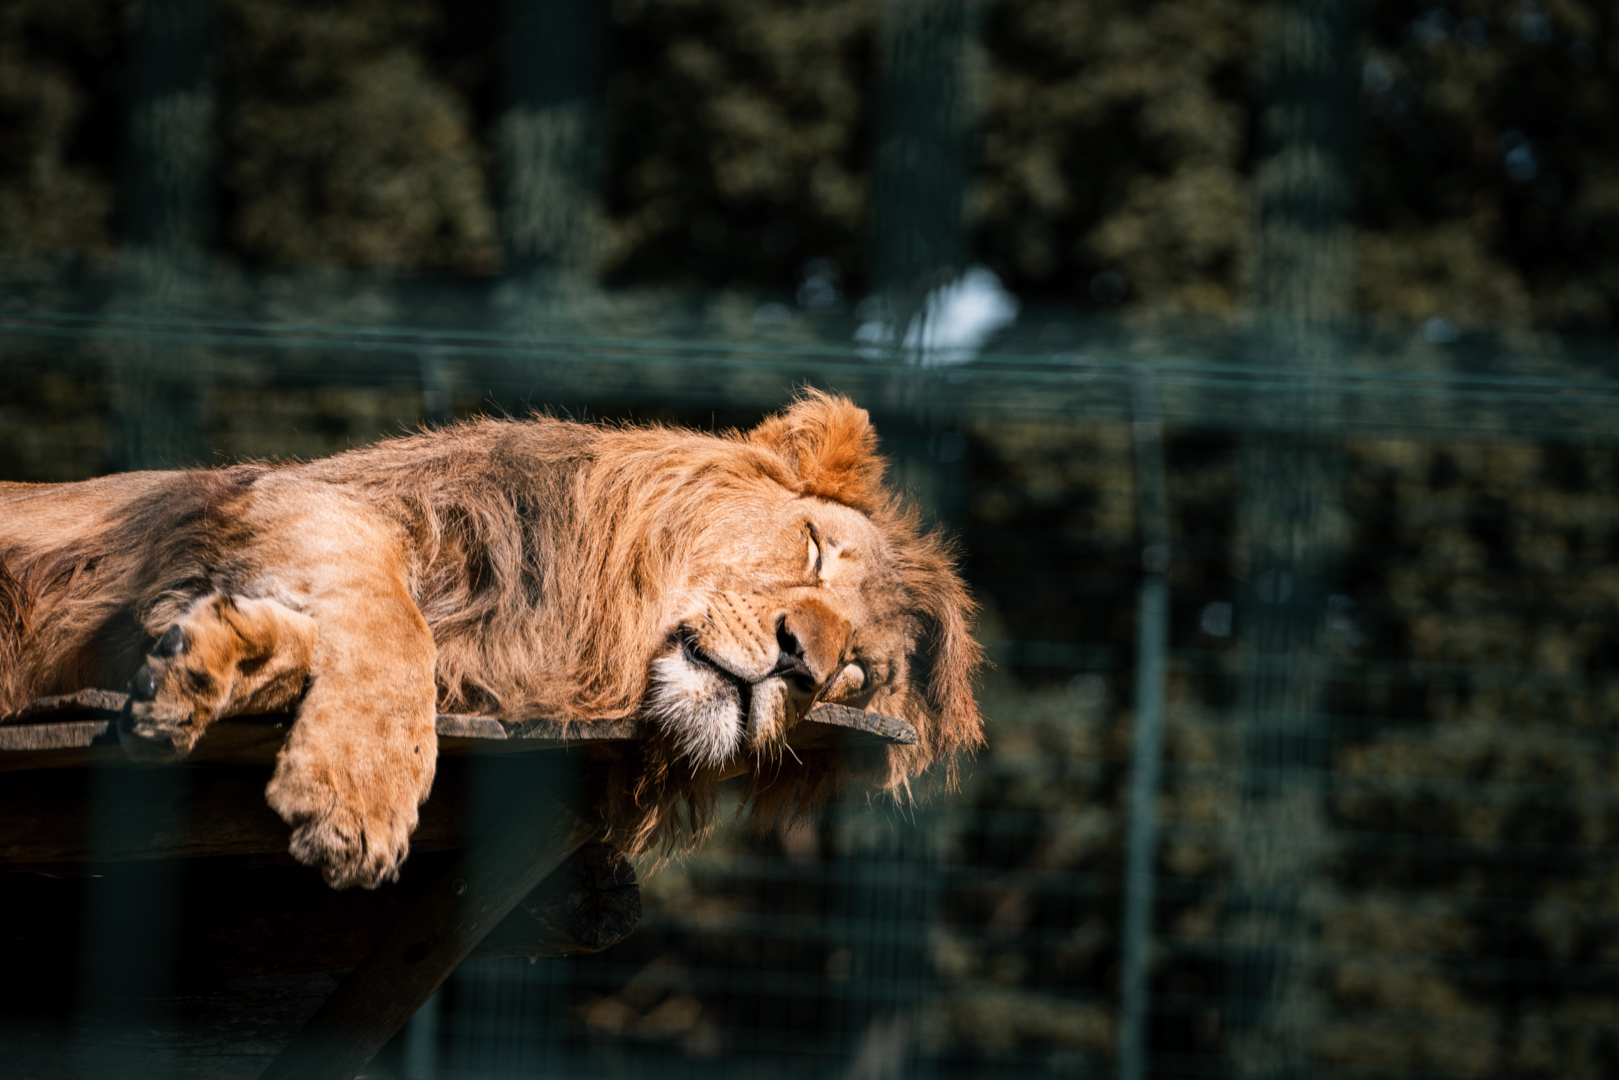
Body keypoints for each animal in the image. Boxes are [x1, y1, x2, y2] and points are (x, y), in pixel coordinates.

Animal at [0, 392, 982, 888]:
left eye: (855, 675)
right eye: (812, 547)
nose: (800, 660)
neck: (587, 646)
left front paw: (206, 662)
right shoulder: (307, 497)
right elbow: (397, 628)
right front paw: (356, 798)